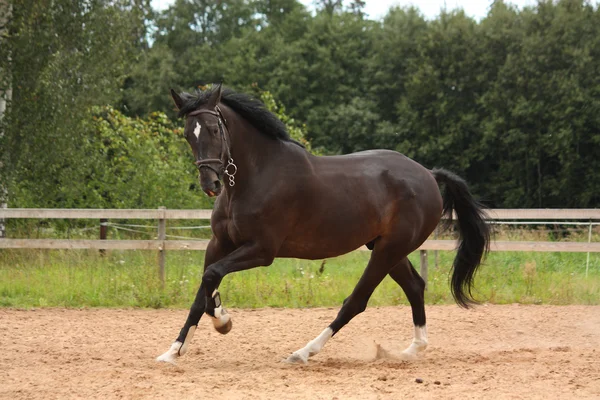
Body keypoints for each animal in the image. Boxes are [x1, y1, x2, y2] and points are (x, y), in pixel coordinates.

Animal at [157, 84, 490, 366]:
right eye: (187, 134)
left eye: (215, 129)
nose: (210, 184)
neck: (256, 175)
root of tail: (429, 175)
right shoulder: (219, 243)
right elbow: (203, 289)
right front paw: (174, 351)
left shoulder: (262, 250)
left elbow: (211, 276)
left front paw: (223, 321)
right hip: (389, 249)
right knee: (415, 287)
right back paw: (410, 351)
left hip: (388, 250)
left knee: (356, 301)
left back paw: (303, 352)